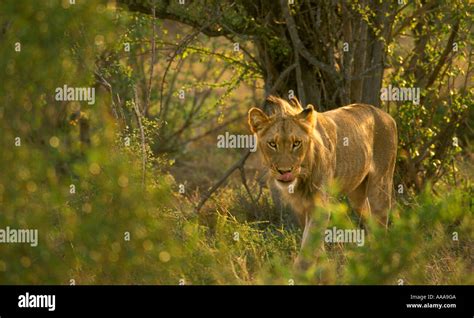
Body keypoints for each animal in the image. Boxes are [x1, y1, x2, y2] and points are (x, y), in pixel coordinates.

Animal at [246, 95, 398, 255]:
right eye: (272, 144)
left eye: (296, 143)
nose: (285, 171)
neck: (301, 178)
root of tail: (385, 114)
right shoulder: (300, 208)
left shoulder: (320, 205)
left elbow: (309, 245)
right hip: (357, 195)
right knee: (368, 217)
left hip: (380, 186)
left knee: (381, 220)